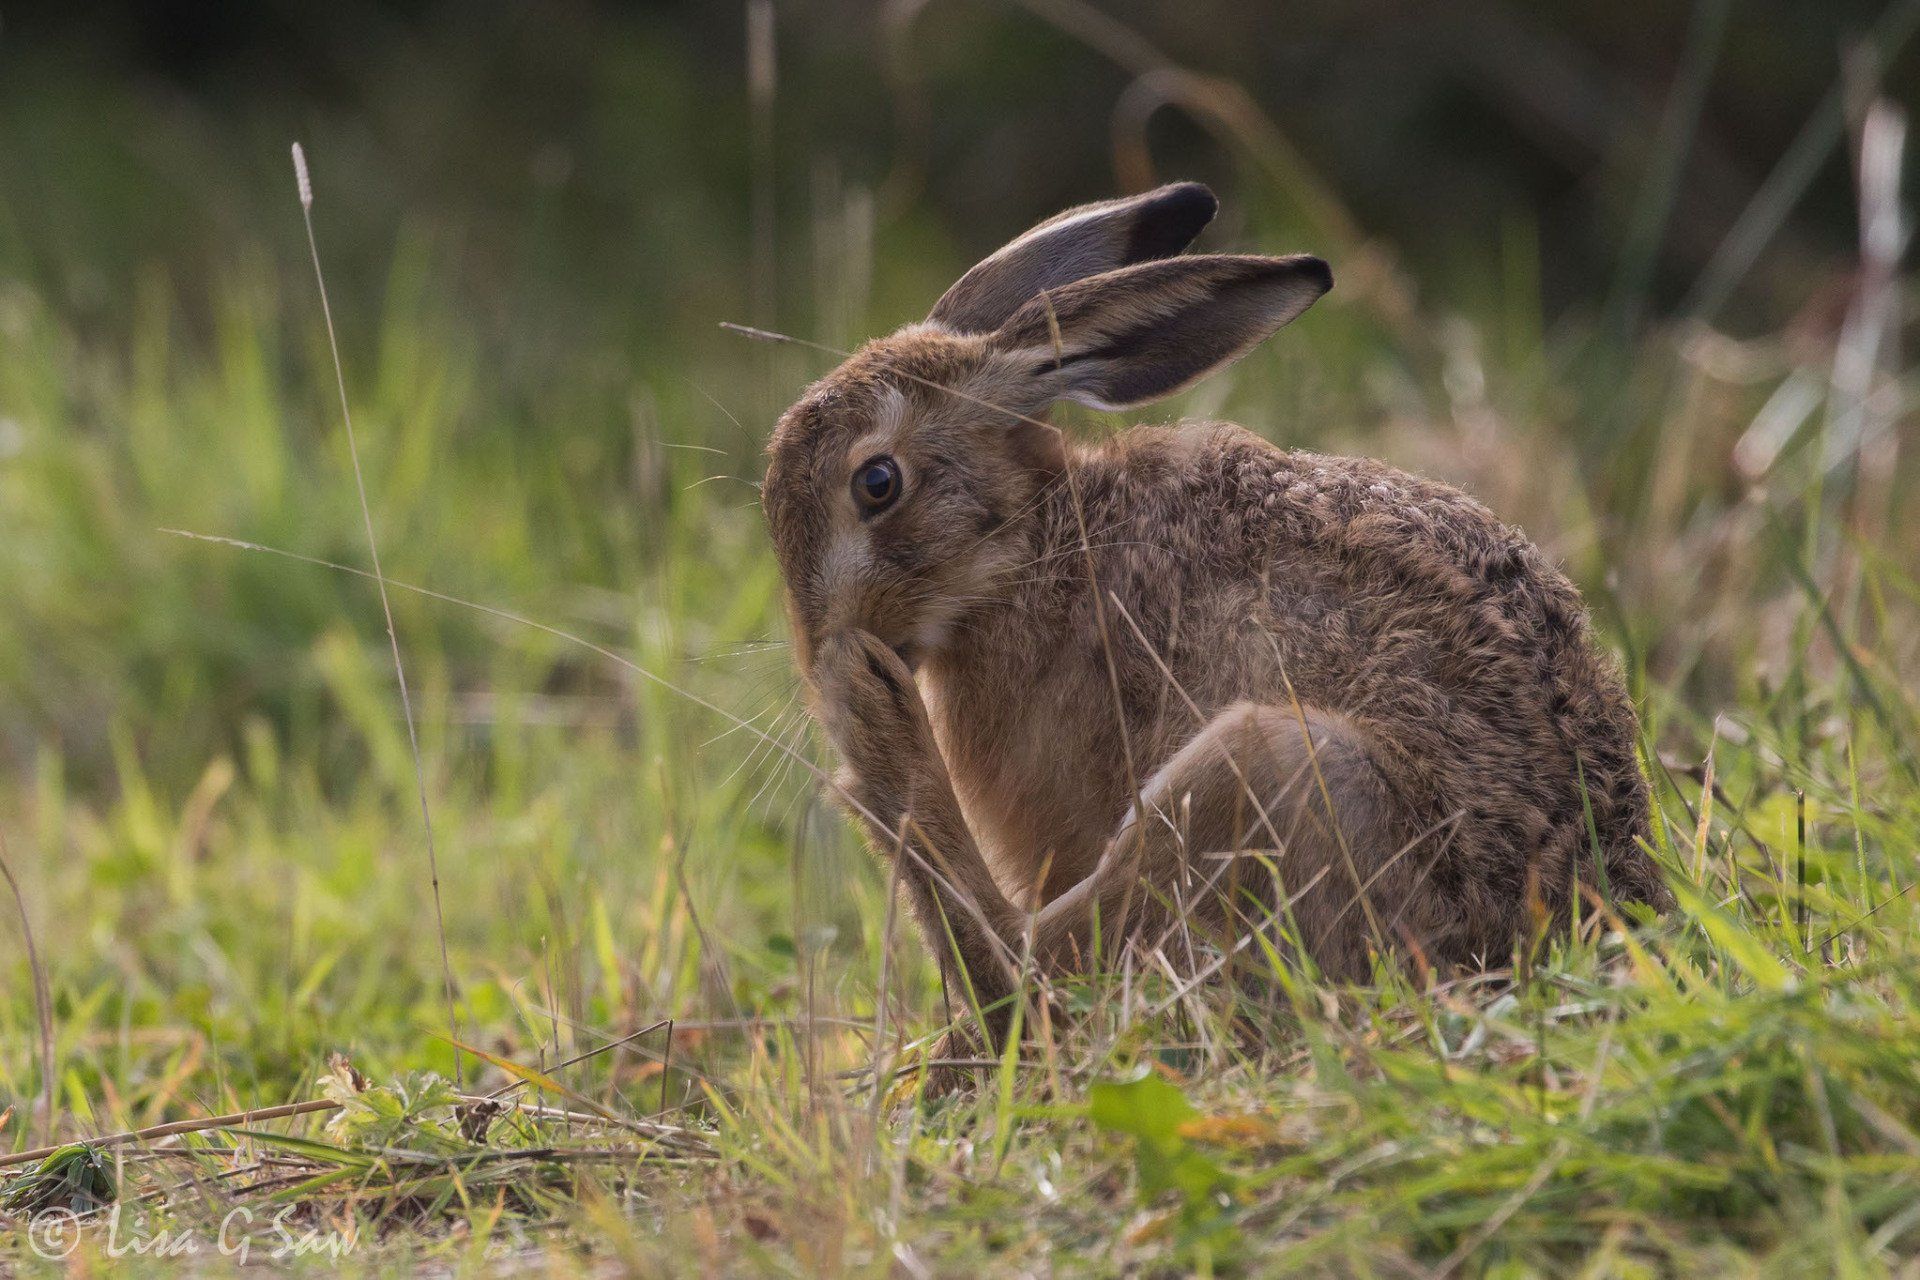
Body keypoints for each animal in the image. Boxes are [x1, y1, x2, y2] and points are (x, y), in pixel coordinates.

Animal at [762, 182, 1670, 1042]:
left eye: (877, 484)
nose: (816, 647)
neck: (1036, 541)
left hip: (1278, 769)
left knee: (1040, 974)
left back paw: (873, 735)